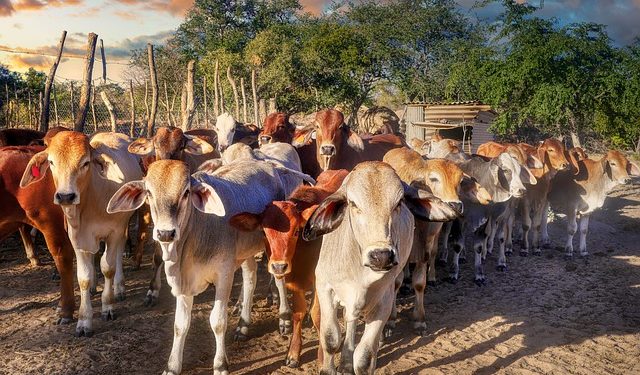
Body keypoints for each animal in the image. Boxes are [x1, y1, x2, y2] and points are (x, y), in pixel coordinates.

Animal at [231, 171, 350, 370]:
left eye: (295, 232)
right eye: (264, 232)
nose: (279, 266)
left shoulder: (319, 282)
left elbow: (319, 316)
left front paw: (322, 358)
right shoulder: (295, 282)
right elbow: (298, 313)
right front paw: (293, 353)